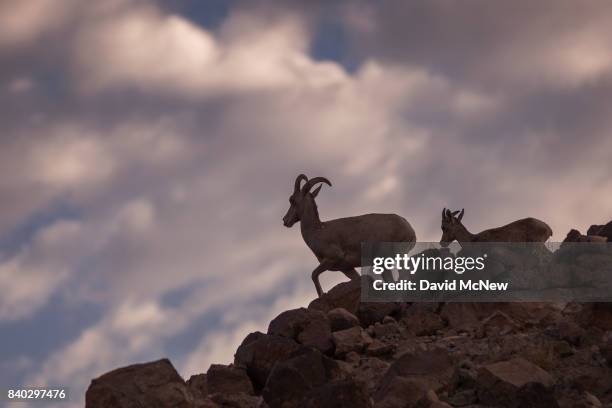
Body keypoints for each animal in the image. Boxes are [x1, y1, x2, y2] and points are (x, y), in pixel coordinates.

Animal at [282, 173, 416, 296]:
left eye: (292, 200)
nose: (285, 220)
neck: (318, 231)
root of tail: (408, 226)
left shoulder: (332, 258)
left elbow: (314, 275)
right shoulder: (347, 269)